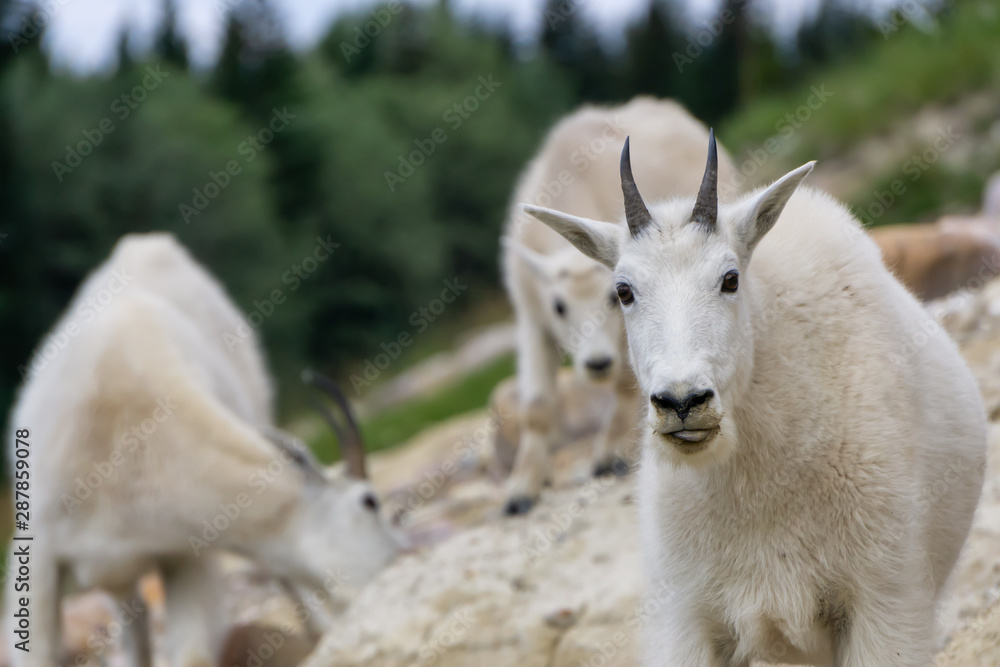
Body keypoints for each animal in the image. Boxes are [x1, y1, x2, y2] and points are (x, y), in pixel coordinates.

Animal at [8, 232, 398, 664]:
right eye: (369, 501)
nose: (396, 562)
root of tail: (148, 244)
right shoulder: (40, 553)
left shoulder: (185, 554)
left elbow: (193, 654)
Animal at [504, 96, 740, 516]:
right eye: (559, 307)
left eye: (614, 298)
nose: (596, 363)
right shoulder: (531, 317)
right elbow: (537, 406)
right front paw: (522, 489)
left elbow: (624, 386)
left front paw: (609, 455)